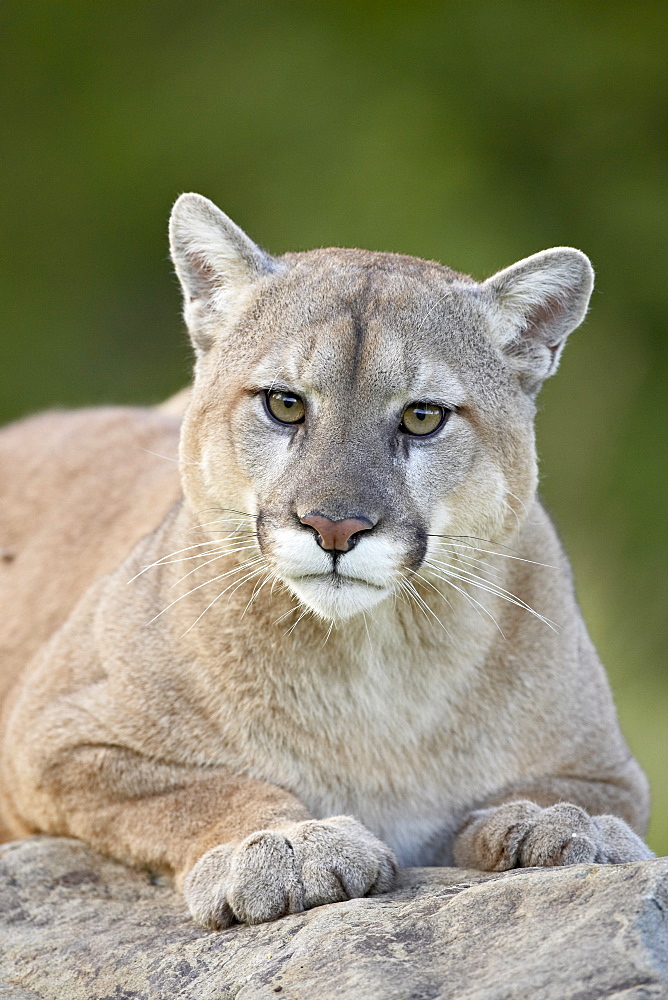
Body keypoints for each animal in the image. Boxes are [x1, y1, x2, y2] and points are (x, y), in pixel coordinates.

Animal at [0, 195, 648, 928]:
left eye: (422, 417)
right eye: (285, 403)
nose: (334, 525)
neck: (369, 660)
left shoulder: (607, 769)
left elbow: (576, 798)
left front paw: (560, 822)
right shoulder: (56, 735)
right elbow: (202, 790)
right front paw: (284, 844)